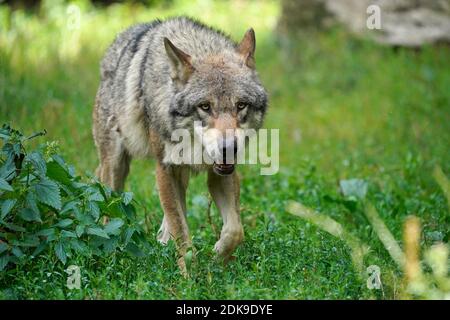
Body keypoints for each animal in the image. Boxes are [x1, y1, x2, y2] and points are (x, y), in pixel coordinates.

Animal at [92, 16, 268, 274]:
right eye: (205, 106)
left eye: (241, 105)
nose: (229, 147)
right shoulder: (165, 169)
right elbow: (182, 231)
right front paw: (190, 275)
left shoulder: (221, 173)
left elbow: (235, 230)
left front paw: (218, 257)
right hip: (115, 167)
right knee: (109, 206)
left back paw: (163, 242)